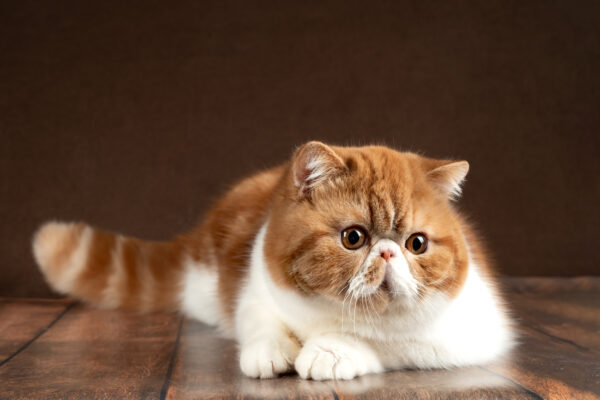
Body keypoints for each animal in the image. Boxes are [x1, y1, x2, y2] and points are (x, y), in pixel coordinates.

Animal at [32, 142, 512, 380]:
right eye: (353, 238)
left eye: (416, 244)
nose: (389, 251)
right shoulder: (254, 292)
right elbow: (260, 323)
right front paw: (271, 351)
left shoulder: (471, 334)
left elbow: (392, 343)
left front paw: (332, 350)